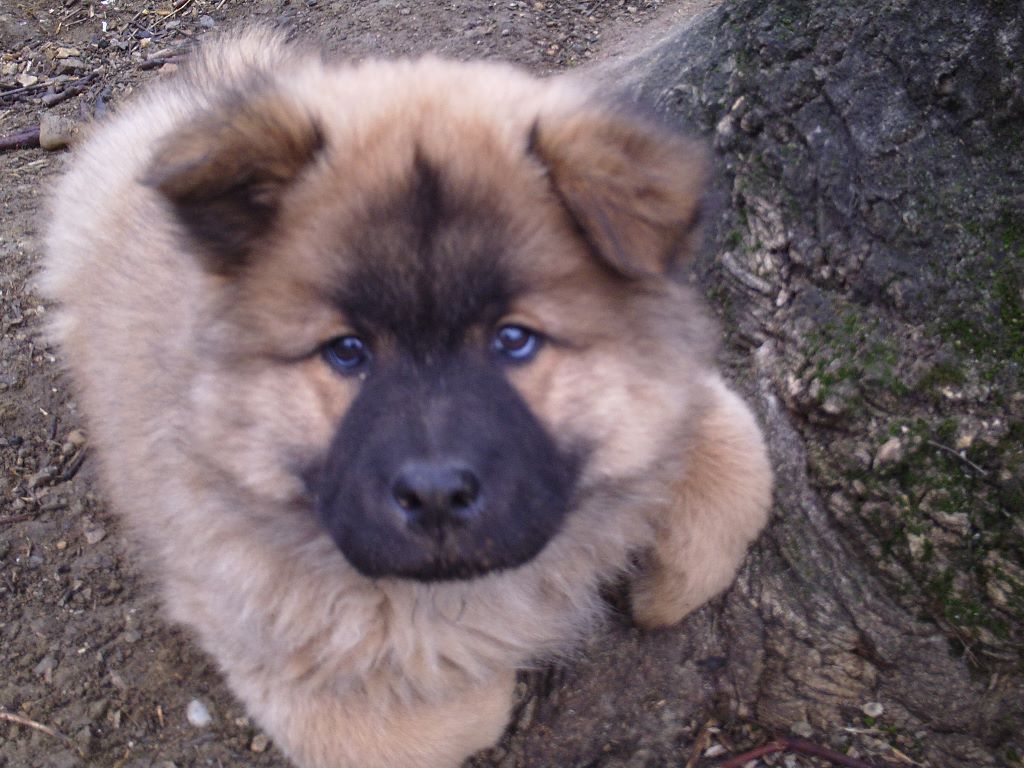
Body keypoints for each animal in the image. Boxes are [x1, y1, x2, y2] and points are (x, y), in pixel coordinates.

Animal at [42, 29, 772, 768]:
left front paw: (663, 591)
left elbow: (741, 453)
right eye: (347, 351)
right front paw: (500, 659)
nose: (436, 494)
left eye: (513, 339)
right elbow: (454, 711)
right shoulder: (278, 651)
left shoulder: (684, 397)